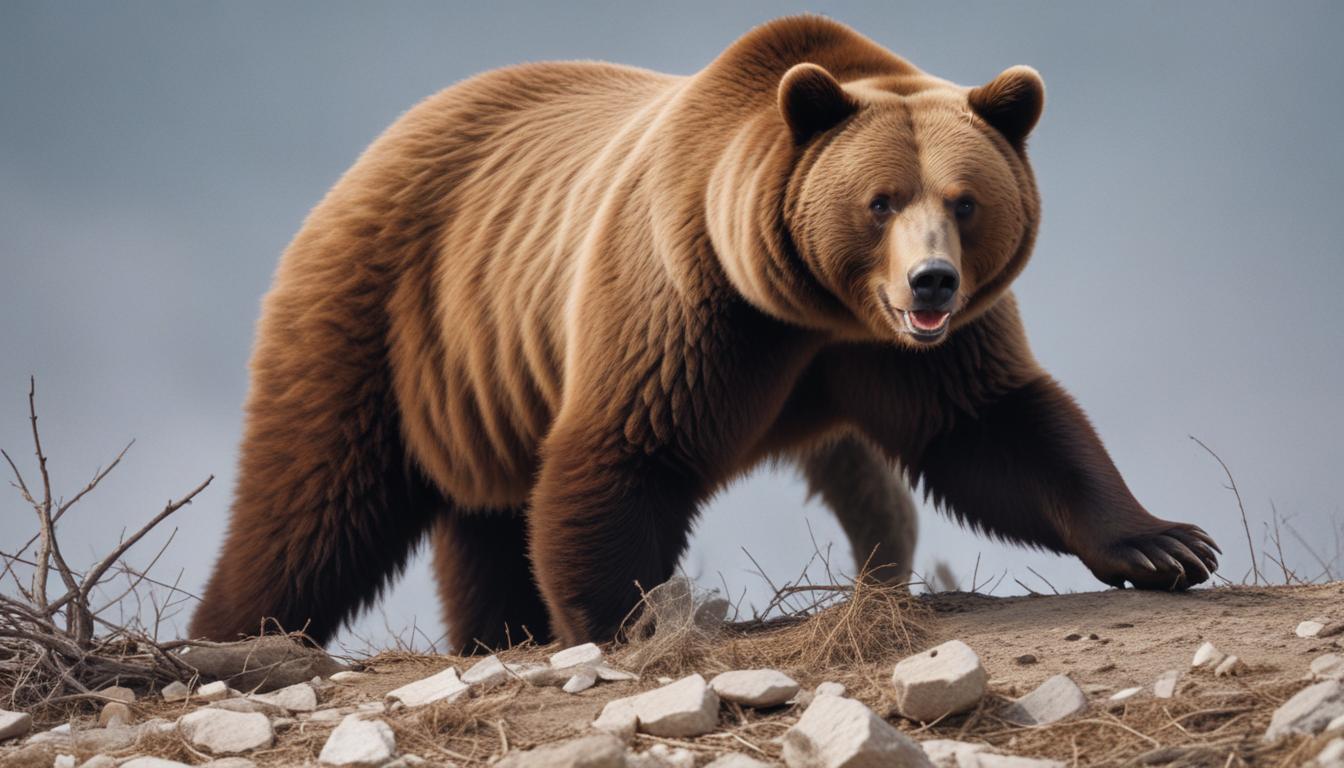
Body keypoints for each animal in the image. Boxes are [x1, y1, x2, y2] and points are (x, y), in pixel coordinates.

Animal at [190, 15, 1220, 650]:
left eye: (964, 201)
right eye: (881, 200)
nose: (930, 280)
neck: (814, 306)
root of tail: (376, 148)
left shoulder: (907, 352)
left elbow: (997, 425)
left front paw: (1165, 543)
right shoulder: (693, 305)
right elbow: (626, 449)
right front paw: (622, 618)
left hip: (481, 386)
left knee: (484, 523)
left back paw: (497, 633)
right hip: (382, 321)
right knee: (311, 506)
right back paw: (229, 636)